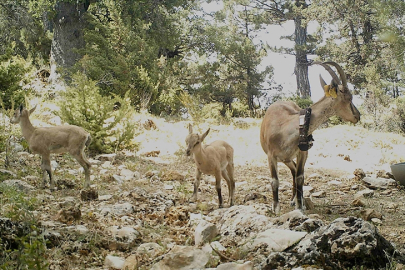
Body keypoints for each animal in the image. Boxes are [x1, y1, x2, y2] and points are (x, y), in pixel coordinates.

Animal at [258, 60, 360, 213]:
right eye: (349, 98)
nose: (357, 115)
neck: (286, 127)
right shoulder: (271, 156)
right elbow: (275, 181)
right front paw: (275, 207)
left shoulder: (303, 153)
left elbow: (300, 177)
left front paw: (300, 206)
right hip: (285, 158)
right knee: (292, 171)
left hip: (289, 158)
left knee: (294, 172)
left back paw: (294, 199)